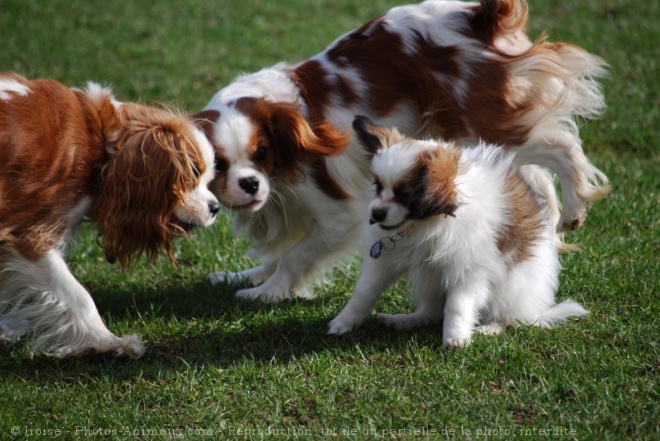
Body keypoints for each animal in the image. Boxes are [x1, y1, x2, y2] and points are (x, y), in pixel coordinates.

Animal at [0, 71, 219, 354]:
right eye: (192, 172)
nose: (215, 207)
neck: (99, 141)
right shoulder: (29, 233)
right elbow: (78, 297)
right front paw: (110, 342)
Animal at [200, 0, 608, 302]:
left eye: (262, 152)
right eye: (218, 165)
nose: (250, 184)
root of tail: (479, 14)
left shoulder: (339, 215)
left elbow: (295, 255)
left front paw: (267, 292)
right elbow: (279, 254)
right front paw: (245, 275)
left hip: (482, 126)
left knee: (560, 147)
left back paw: (573, 209)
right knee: (536, 179)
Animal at [326, 116, 588, 344]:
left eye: (404, 195)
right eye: (378, 186)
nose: (376, 213)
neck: (427, 224)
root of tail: (535, 311)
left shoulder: (469, 269)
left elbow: (458, 304)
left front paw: (455, 338)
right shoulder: (384, 261)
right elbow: (364, 292)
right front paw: (343, 323)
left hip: (511, 288)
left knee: (509, 319)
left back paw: (489, 328)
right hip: (429, 280)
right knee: (432, 311)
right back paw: (404, 321)